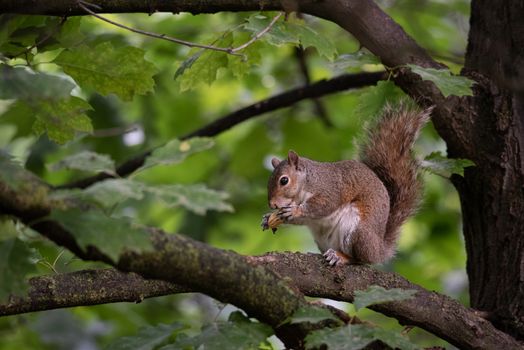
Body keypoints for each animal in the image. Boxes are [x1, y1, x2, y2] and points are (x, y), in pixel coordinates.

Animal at [264, 104, 432, 266]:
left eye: (284, 180)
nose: (272, 205)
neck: (305, 184)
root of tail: (379, 250)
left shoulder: (330, 188)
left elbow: (323, 205)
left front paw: (295, 210)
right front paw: (267, 218)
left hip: (357, 232)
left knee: (360, 260)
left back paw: (340, 257)